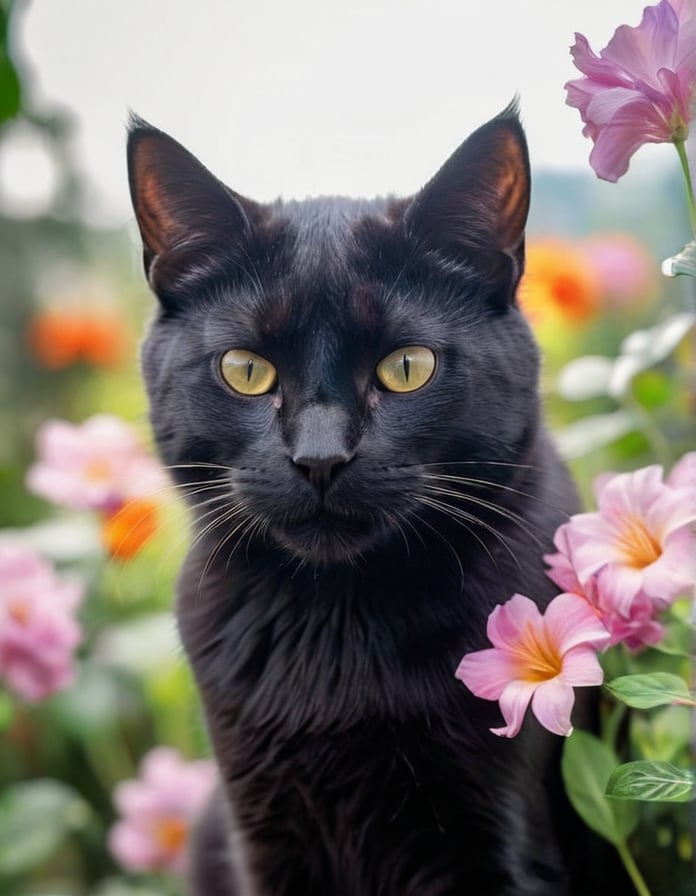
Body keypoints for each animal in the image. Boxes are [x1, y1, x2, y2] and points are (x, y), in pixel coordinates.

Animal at [128, 107, 600, 896]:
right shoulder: (262, 832)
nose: (321, 457)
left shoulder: (496, 834)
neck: (337, 625)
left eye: (407, 368)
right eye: (246, 370)